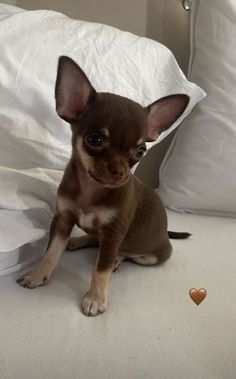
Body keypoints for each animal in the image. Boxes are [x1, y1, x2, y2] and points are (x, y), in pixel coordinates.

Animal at [16, 57, 190, 318]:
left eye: (141, 151)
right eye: (95, 139)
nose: (120, 172)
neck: (91, 189)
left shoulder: (113, 233)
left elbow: (101, 270)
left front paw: (95, 299)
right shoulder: (62, 219)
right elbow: (51, 253)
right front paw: (38, 276)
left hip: (154, 256)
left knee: (123, 254)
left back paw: (117, 258)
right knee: (94, 238)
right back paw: (77, 241)